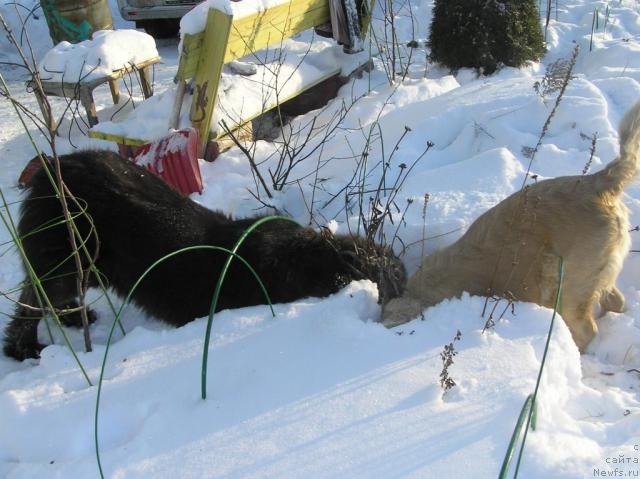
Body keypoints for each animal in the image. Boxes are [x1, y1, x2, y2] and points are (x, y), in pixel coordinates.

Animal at [3, 150, 404, 360]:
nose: (401, 280)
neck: (309, 259)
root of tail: (54, 167)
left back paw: (75, 318)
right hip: (62, 260)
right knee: (31, 302)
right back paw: (24, 348)